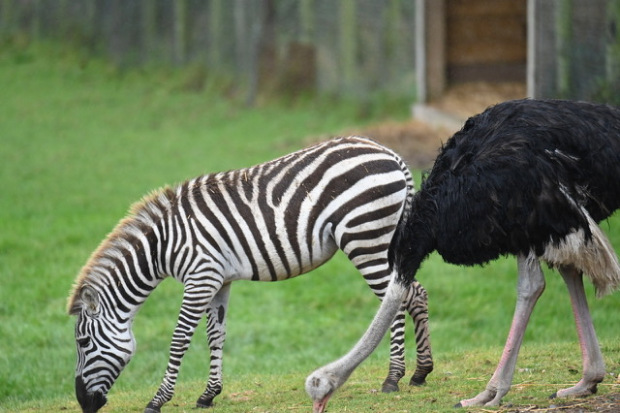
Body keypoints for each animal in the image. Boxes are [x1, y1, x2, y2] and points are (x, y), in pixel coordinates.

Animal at [68, 136, 434, 412]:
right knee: (416, 292)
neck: (163, 245)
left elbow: (180, 339)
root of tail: (392, 155)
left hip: (366, 239)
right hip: (383, 240)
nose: (84, 404)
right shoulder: (218, 280)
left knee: (397, 298)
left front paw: (158, 400)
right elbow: (216, 335)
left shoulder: (200, 278)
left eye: (83, 342)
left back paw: (393, 378)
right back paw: (420, 372)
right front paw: (209, 394)